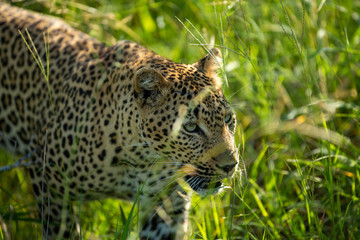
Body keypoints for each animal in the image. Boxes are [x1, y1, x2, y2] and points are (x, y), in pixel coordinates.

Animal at [1, 2, 240, 239]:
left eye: (228, 119)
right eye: (190, 127)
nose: (231, 166)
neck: (142, 159)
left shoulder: (166, 206)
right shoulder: (51, 187)